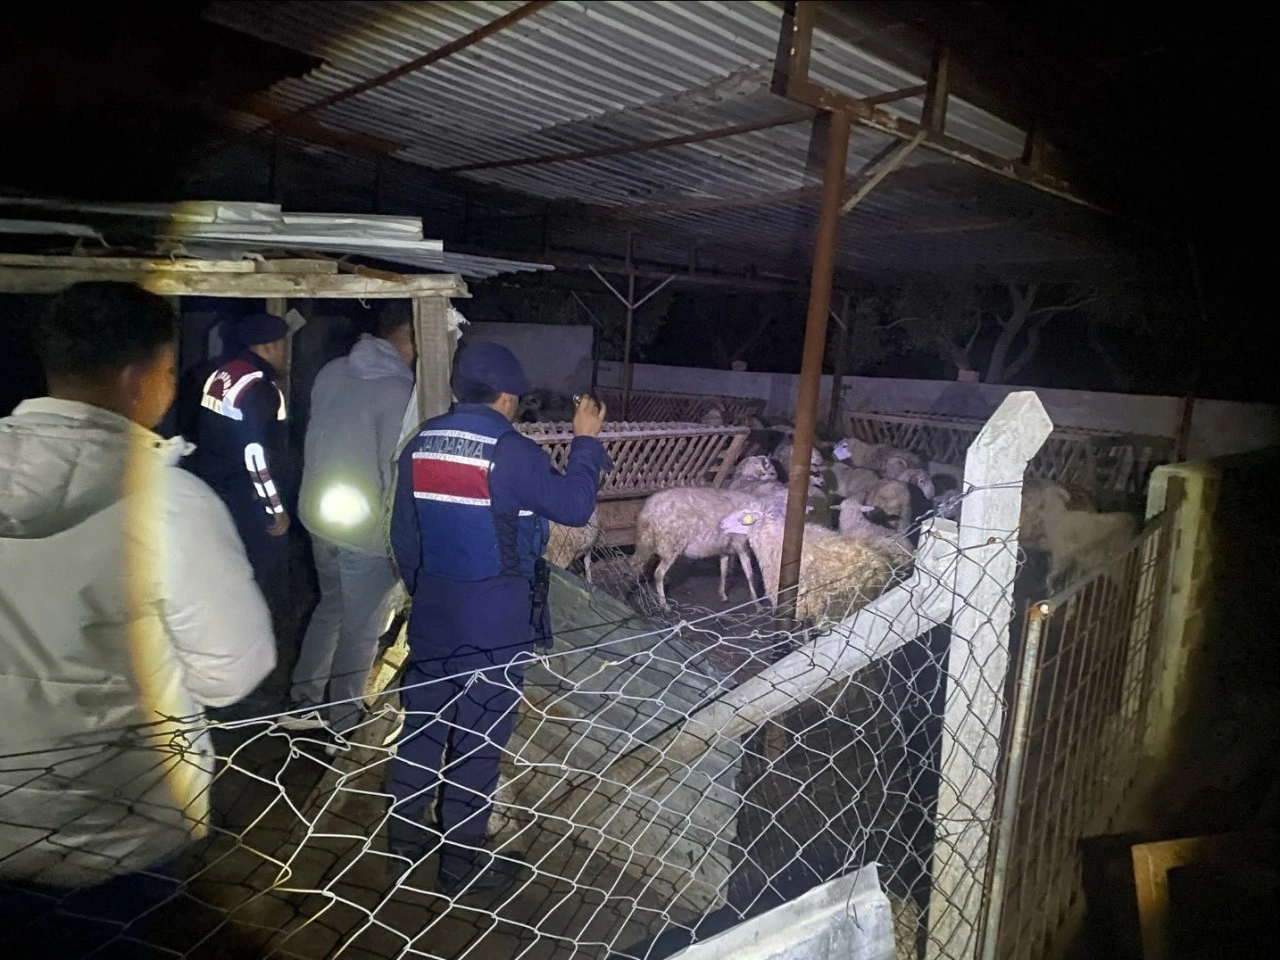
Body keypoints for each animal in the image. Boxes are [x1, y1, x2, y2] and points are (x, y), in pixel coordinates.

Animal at [632, 487, 768, 607]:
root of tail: (648, 509)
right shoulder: (741, 546)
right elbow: (749, 574)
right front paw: (757, 603)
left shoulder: (724, 548)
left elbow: (723, 571)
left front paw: (722, 594)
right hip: (669, 545)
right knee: (658, 573)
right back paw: (664, 604)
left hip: (646, 541)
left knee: (636, 564)